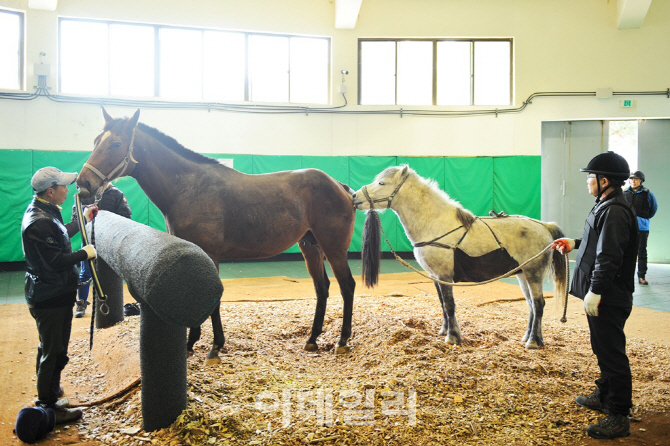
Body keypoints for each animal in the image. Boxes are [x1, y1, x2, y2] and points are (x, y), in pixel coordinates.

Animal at [77, 109, 360, 362]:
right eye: (96, 141)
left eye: (116, 143)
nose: (83, 184)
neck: (188, 188)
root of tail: (339, 186)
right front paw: (191, 343)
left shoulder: (210, 253)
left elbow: (214, 300)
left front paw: (214, 348)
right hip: (310, 246)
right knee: (322, 287)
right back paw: (312, 339)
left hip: (333, 247)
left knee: (346, 285)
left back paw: (342, 341)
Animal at [352, 166, 568, 350]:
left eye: (381, 183)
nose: (354, 196)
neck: (434, 224)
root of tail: (544, 226)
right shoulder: (435, 276)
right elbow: (442, 304)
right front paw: (445, 330)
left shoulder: (444, 275)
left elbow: (449, 305)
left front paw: (453, 337)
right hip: (522, 274)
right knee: (531, 305)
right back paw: (529, 337)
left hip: (533, 273)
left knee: (538, 304)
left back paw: (533, 341)